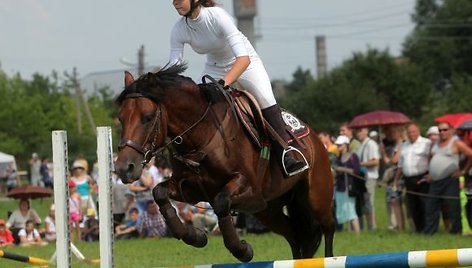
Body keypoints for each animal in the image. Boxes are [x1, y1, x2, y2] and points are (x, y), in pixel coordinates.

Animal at [114, 63, 336, 262]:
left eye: (148, 117)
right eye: (120, 118)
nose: (124, 168)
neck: (201, 135)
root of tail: (314, 138)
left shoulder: (249, 188)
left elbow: (221, 203)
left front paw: (241, 250)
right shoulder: (191, 190)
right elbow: (159, 192)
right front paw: (195, 236)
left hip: (316, 197)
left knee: (328, 227)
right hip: (267, 210)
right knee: (294, 235)